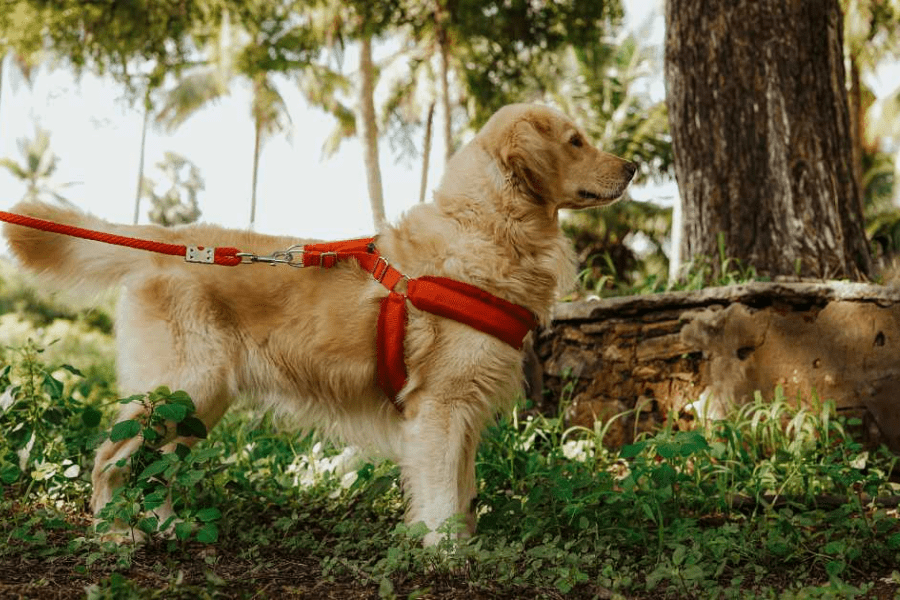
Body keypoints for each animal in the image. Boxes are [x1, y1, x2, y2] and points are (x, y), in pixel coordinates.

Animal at [1, 103, 632, 544]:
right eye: (576, 141)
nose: (634, 166)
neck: (488, 230)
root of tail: (167, 244)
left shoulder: (465, 412)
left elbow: (464, 492)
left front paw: (460, 545)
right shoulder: (440, 407)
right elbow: (443, 497)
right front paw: (446, 555)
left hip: (197, 404)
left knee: (157, 469)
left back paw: (165, 527)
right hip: (181, 387)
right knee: (109, 460)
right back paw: (114, 535)